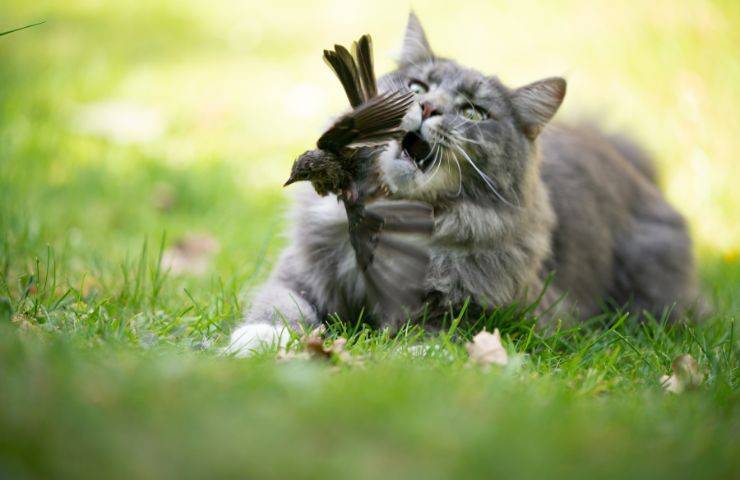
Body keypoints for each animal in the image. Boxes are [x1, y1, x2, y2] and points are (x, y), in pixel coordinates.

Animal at [227, 12, 704, 356]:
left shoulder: (513, 313)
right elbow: (280, 304)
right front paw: (255, 343)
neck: (397, 220)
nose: (427, 107)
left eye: (474, 112)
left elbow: (438, 329)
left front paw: (415, 356)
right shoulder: (301, 271)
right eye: (418, 86)